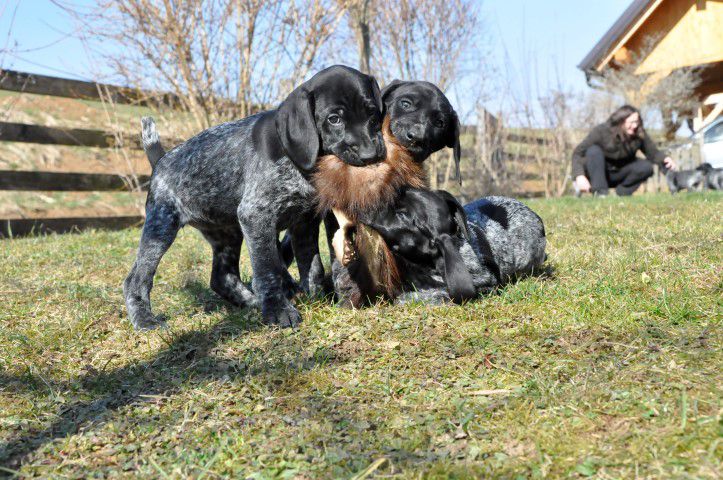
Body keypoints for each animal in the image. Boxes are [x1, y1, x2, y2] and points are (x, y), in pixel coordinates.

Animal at [126, 64, 384, 330]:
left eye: (372, 114)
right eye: (334, 119)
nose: (371, 155)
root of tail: (161, 160)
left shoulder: (304, 221)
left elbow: (312, 266)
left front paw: (317, 298)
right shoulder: (256, 215)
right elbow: (267, 268)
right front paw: (279, 311)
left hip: (228, 234)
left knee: (221, 277)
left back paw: (250, 302)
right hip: (161, 227)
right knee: (136, 279)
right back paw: (145, 319)